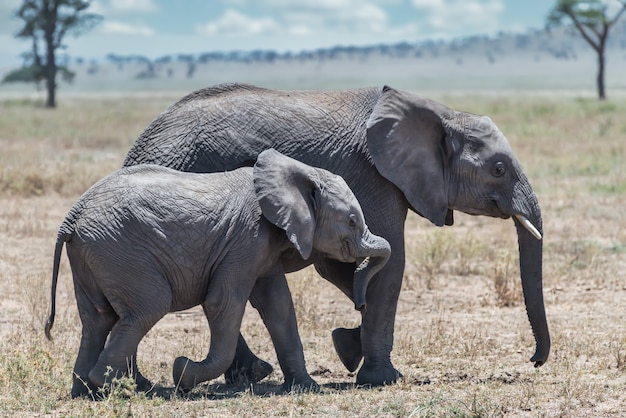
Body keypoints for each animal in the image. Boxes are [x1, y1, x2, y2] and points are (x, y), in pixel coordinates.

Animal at [47, 149, 390, 396]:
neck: (297, 171)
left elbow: (279, 306)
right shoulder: (246, 239)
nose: (359, 304)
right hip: (119, 249)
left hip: (93, 252)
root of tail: (72, 215)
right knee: (148, 307)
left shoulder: (262, 248)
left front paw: (306, 388)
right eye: (351, 222)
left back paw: (86, 391)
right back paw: (122, 388)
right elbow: (222, 304)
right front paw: (183, 373)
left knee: (98, 319)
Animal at [123, 83, 552, 386]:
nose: (534, 361)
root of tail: (136, 147)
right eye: (498, 169)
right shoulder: (374, 176)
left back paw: (250, 374)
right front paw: (381, 378)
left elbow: (343, 268)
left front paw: (348, 345)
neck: (441, 113)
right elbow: (392, 261)